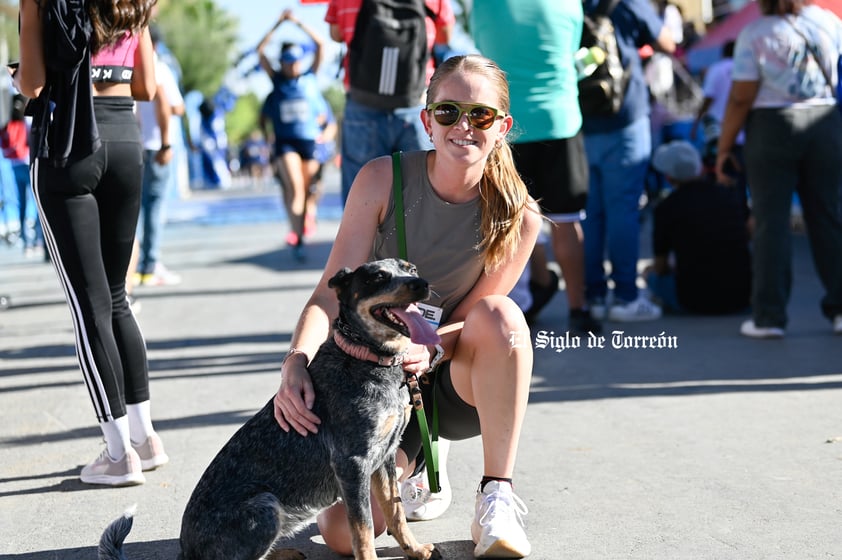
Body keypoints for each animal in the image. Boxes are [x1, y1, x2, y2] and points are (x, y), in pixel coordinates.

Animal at [97, 258, 440, 560]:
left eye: (410, 269)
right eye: (378, 277)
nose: (422, 283)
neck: (365, 359)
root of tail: (186, 551)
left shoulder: (385, 457)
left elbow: (395, 513)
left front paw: (415, 550)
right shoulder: (352, 464)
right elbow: (363, 530)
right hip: (266, 506)